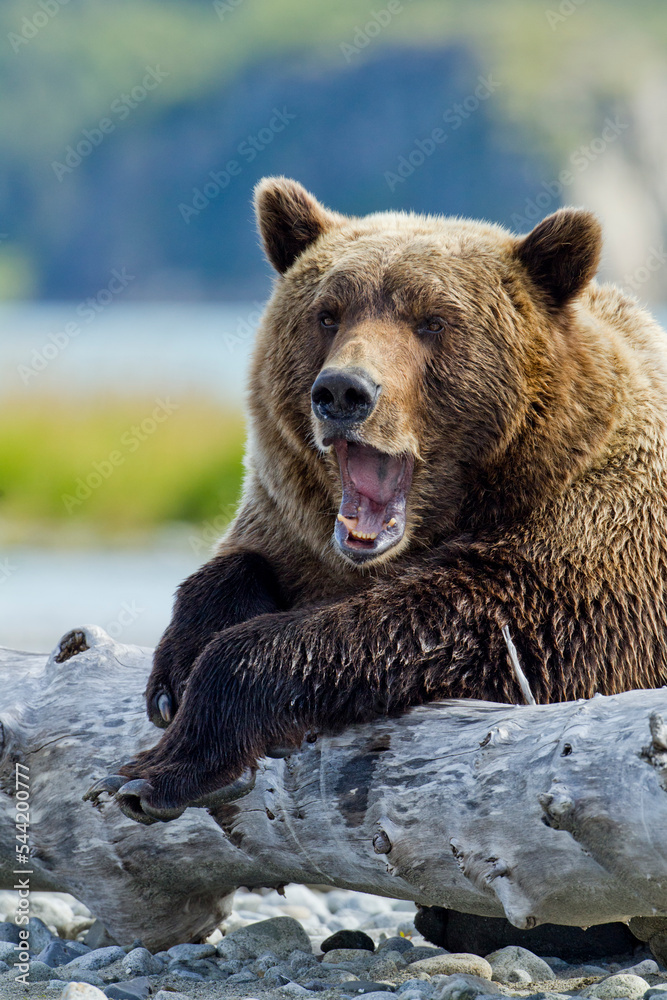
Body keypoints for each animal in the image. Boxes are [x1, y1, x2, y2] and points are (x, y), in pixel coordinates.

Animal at [94, 177, 667, 824]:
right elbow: (239, 562)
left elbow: (441, 624)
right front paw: (175, 670)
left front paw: (158, 768)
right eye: (327, 314)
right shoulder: (290, 524)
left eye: (433, 320)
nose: (343, 390)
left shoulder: (585, 562)